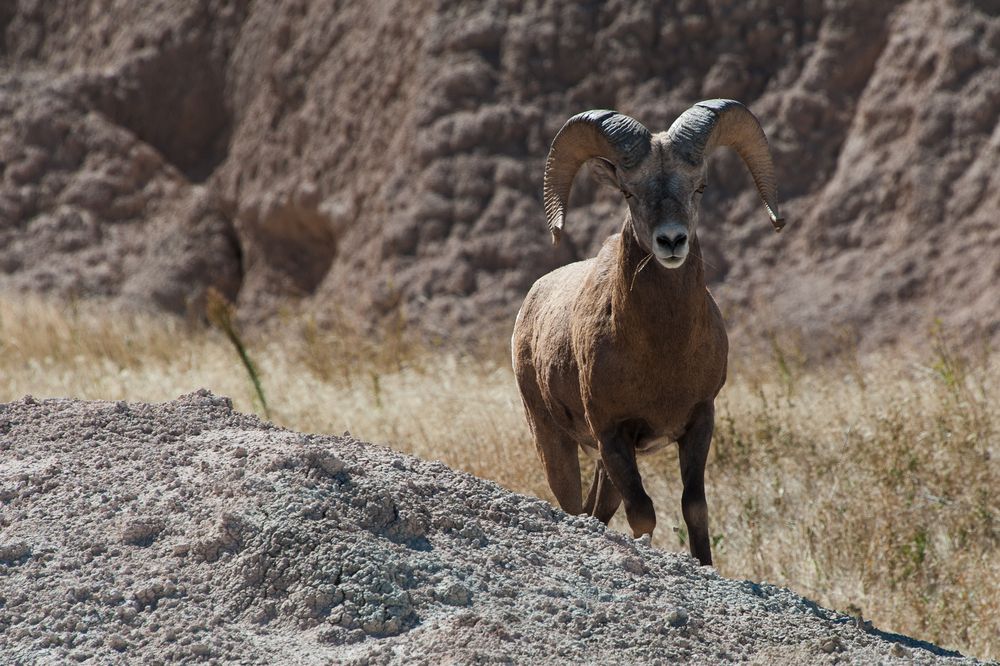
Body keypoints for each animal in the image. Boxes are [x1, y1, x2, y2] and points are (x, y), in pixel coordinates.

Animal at [512, 100, 784, 564]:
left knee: (597, 510)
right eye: (628, 192)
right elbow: (643, 513)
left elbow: (694, 507)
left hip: (601, 462)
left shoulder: (699, 422)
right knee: (573, 506)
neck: (663, 353)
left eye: (699, 187)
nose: (671, 241)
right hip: (554, 441)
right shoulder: (612, 434)